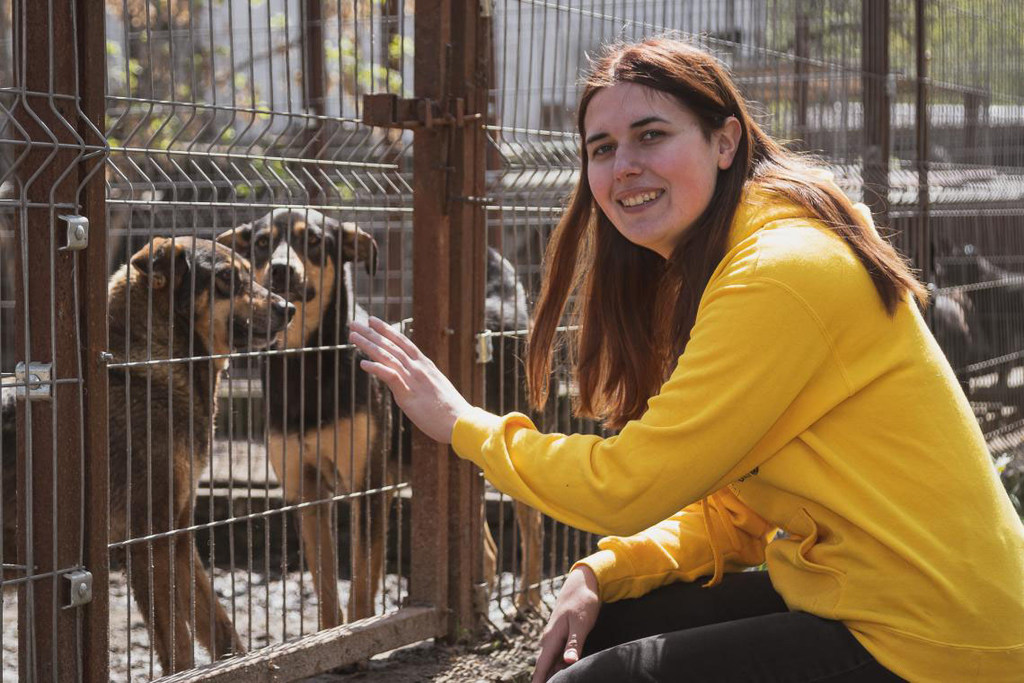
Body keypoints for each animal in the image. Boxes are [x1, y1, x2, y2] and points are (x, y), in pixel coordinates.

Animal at [108, 239, 292, 671]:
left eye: (251, 273)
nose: (289, 307)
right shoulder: (149, 540)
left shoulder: (179, 534)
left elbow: (220, 625)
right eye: (226, 277)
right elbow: (179, 647)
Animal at [217, 208, 391, 630]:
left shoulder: (366, 484)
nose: (281, 269)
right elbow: (326, 585)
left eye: (312, 240)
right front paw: (331, 635)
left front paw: (361, 634)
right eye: (262, 242)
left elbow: (361, 588)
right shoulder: (306, 489)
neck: (307, 365)